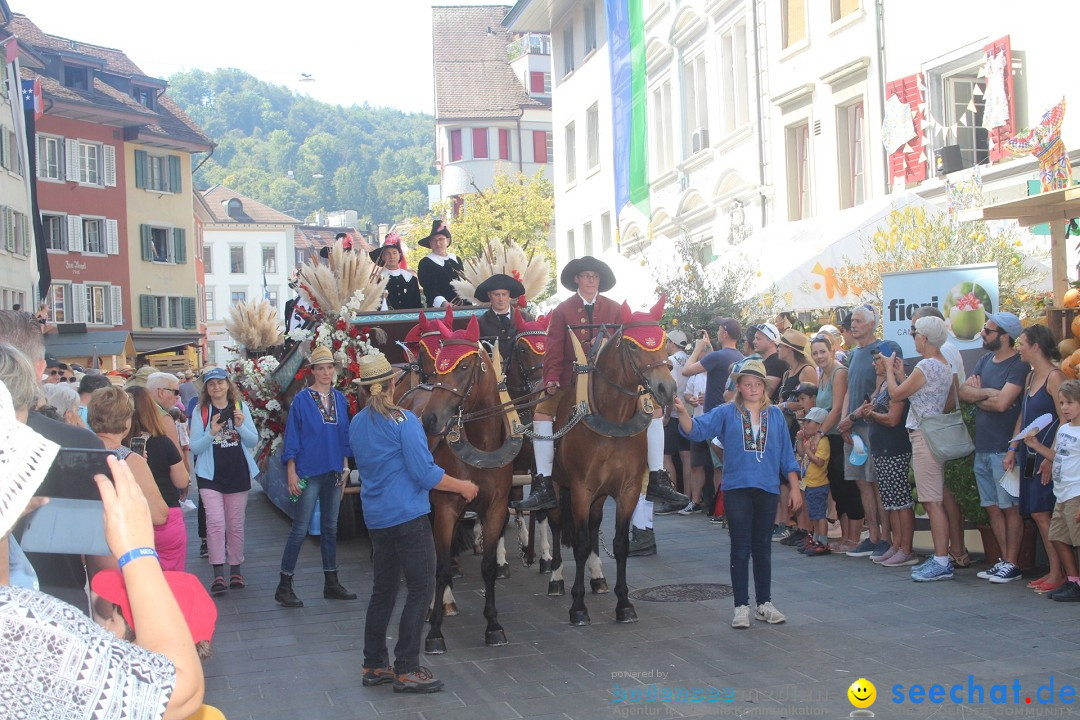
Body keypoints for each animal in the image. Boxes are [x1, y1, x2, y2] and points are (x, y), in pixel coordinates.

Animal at [416, 315, 518, 651]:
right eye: (439, 365)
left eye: (463, 366)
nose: (430, 420)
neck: (481, 445)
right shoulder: (446, 508)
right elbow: (441, 566)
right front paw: (435, 632)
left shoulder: (496, 508)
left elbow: (488, 566)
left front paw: (494, 625)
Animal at [548, 297, 673, 626]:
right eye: (631, 345)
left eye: (663, 339)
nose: (667, 389)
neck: (612, 420)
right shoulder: (580, 489)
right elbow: (578, 543)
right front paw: (578, 606)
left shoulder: (627, 490)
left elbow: (619, 544)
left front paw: (624, 603)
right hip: (556, 487)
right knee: (555, 524)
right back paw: (555, 578)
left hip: (599, 495)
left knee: (593, 526)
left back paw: (597, 577)